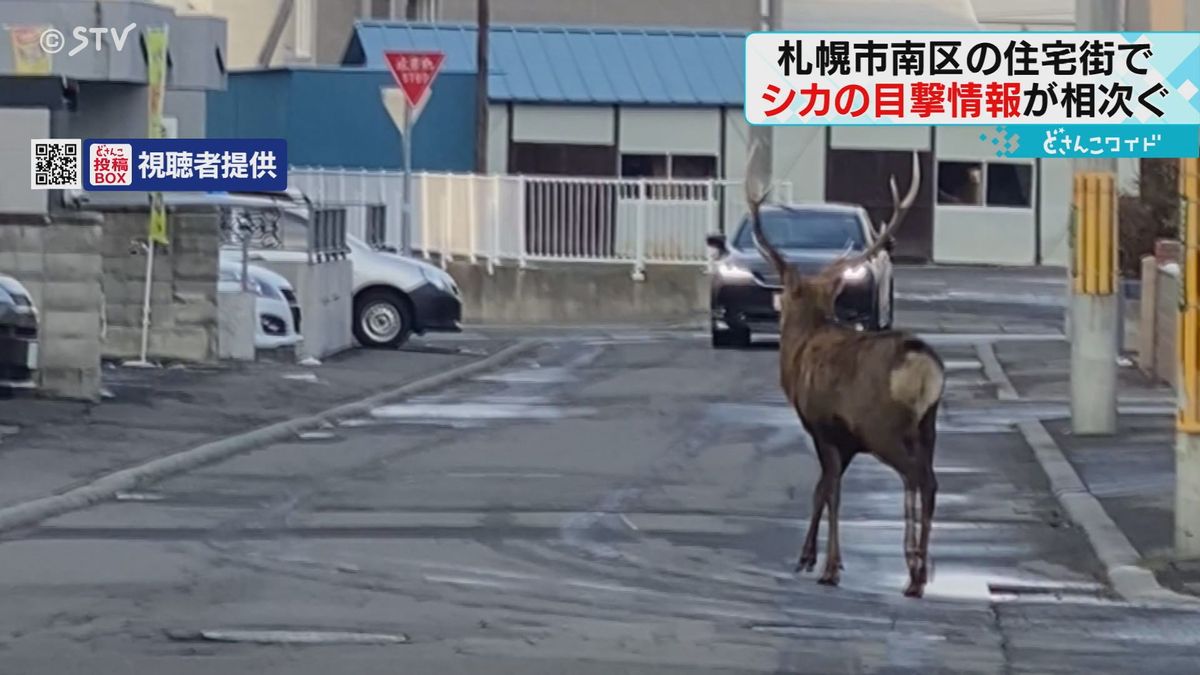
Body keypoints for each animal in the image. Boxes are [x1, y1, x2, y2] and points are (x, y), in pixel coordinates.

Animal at [744, 149, 940, 595]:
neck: (802, 349)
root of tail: (921, 363)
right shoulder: (844, 441)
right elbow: (821, 489)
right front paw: (806, 557)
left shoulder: (822, 425)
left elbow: (831, 490)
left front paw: (830, 567)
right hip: (929, 425)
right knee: (931, 480)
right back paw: (919, 572)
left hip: (883, 425)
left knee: (914, 476)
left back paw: (914, 571)